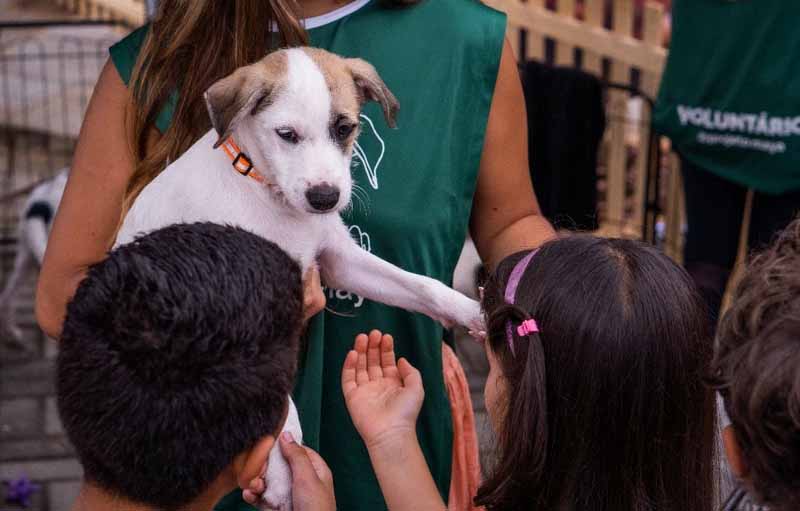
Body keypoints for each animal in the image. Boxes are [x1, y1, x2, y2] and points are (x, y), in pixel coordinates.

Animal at [115, 46, 484, 510]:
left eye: (344, 128)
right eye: (286, 134)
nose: (325, 198)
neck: (268, 195)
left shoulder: (340, 259)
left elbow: (422, 285)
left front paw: (474, 312)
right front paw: (282, 470)